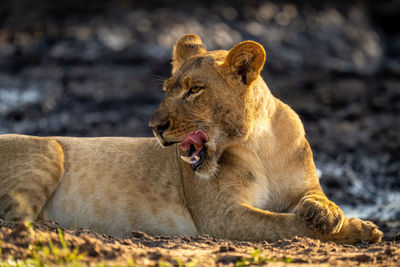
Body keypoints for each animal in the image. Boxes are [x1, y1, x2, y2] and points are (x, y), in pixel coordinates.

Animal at [0, 34, 382, 245]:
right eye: (168, 89)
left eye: (193, 90)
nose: (154, 126)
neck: (259, 144)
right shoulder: (222, 219)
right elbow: (285, 227)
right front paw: (360, 229)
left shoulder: (302, 184)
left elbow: (317, 198)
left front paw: (327, 213)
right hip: (50, 147)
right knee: (14, 221)